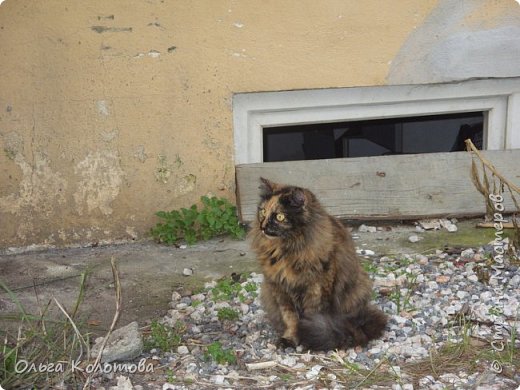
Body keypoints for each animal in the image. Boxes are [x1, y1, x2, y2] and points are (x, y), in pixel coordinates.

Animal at [250, 177, 388, 350]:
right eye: (262, 212)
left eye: (280, 217)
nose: (262, 227)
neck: (287, 249)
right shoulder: (280, 289)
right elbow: (290, 318)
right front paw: (290, 338)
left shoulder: (317, 288)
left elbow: (311, 315)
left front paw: (306, 338)